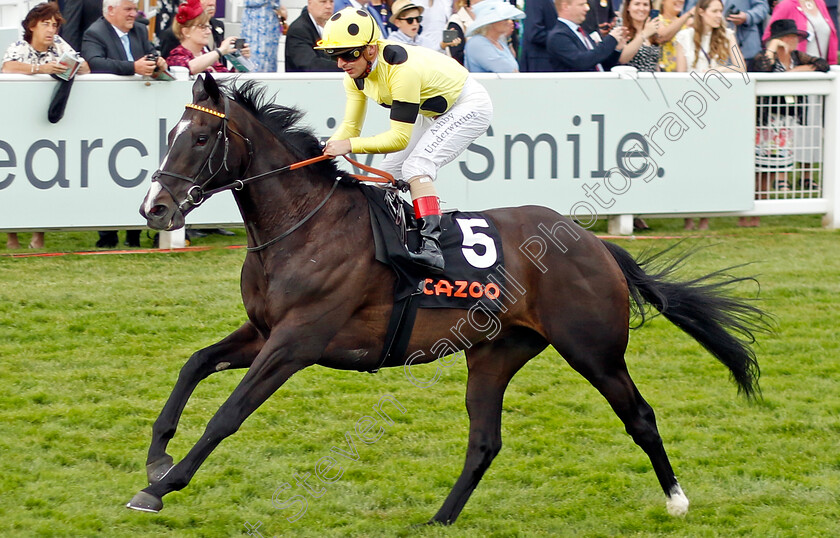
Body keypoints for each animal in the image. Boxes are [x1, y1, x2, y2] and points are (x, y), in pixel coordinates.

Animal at [131, 73, 768, 520]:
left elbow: (228, 414)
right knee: (484, 441)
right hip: (496, 353)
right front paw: (158, 456)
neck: (303, 226)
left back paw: (678, 500)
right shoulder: (264, 330)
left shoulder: (297, 341)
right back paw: (439, 518)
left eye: (203, 137)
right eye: (171, 136)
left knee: (639, 415)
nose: (154, 209)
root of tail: (595, 244)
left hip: (593, 350)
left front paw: (162, 486)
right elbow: (194, 365)